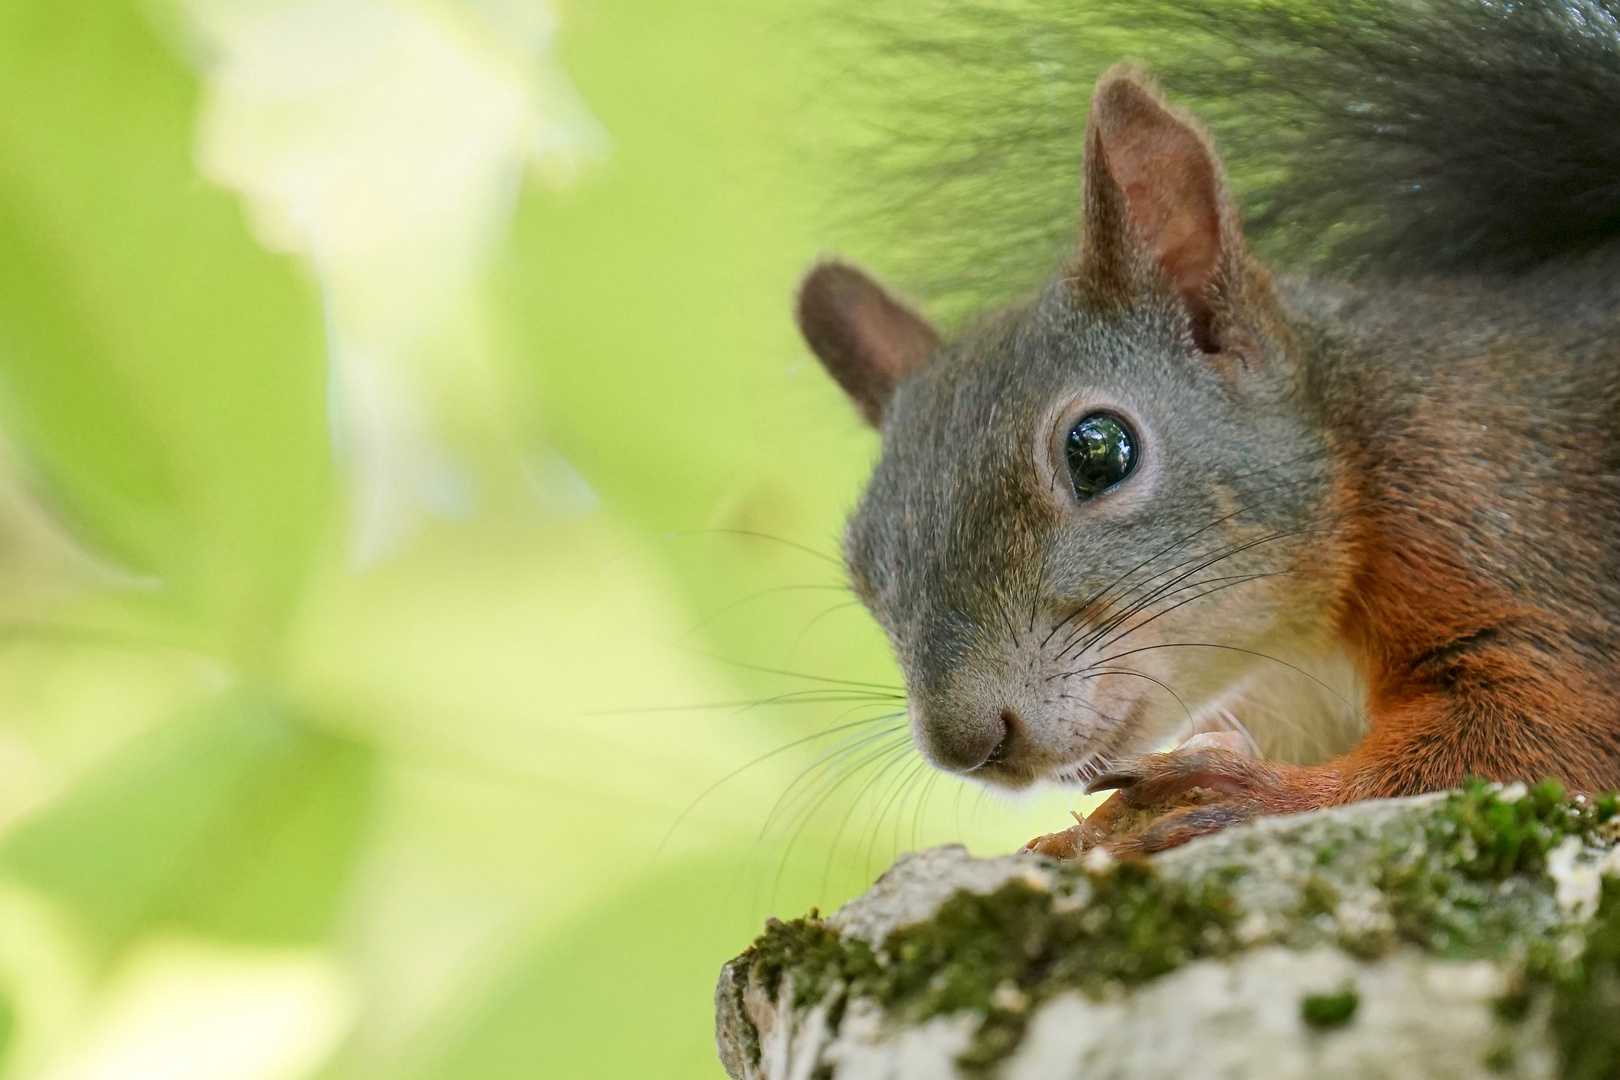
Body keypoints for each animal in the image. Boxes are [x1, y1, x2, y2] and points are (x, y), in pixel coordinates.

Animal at [790, 0, 1620, 854]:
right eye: (861, 566)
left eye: (1098, 452)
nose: (968, 744)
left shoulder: (1505, 523)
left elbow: (1542, 731)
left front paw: (1246, 796)